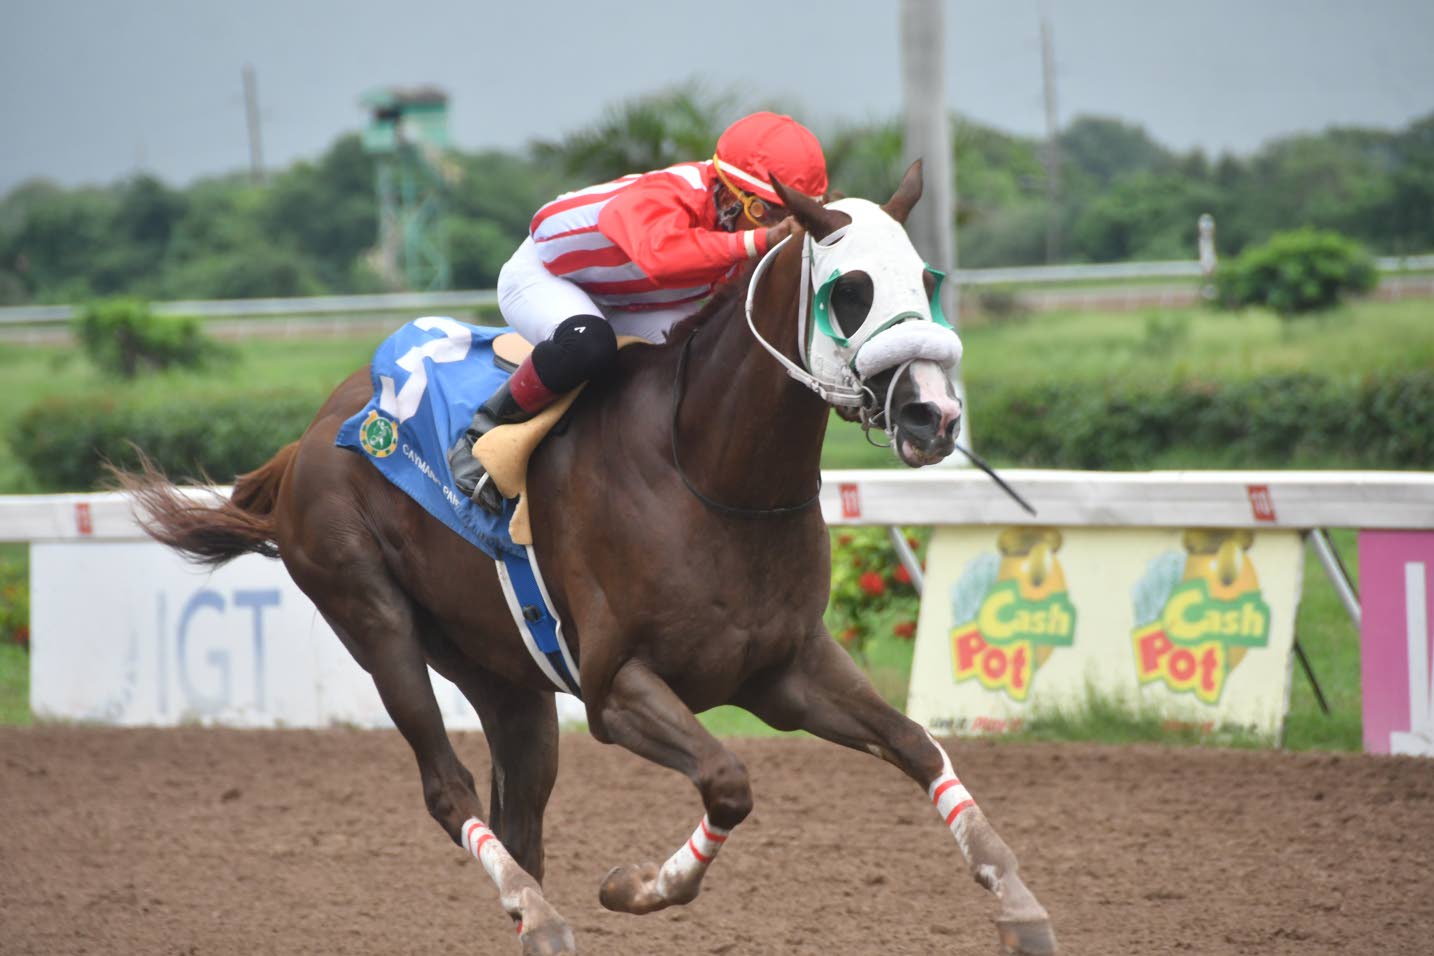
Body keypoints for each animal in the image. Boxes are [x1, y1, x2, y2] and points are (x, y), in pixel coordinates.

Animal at [120, 162, 1058, 956]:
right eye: (849, 292)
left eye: (927, 281)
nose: (934, 415)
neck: (708, 474)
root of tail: (310, 436)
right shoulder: (619, 687)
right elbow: (729, 781)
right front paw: (635, 886)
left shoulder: (785, 668)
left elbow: (916, 745)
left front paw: (1019, 901)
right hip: (372, 616)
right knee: (449, 787)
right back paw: (537, 914)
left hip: (505, 677)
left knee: (521, 815)